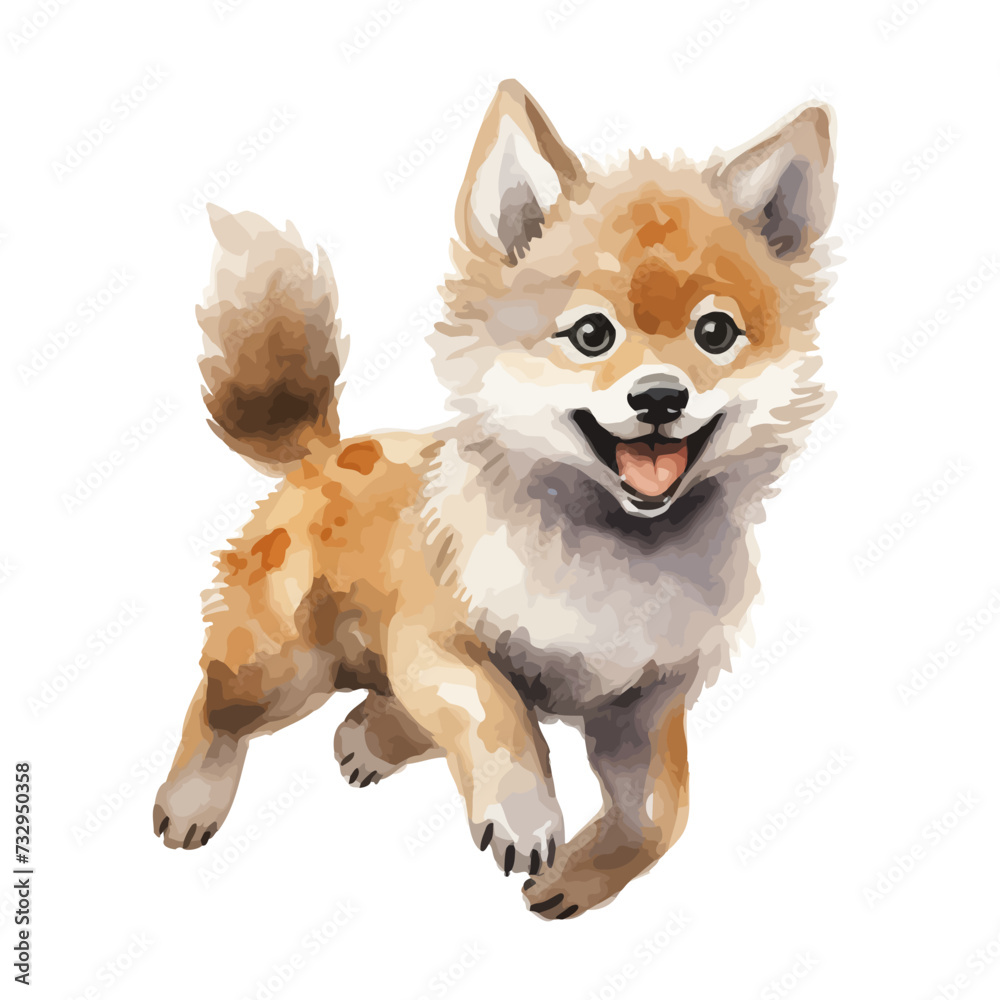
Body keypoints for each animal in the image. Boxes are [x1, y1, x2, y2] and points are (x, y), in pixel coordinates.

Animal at [153, 79, 836, 919]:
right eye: (591, 335)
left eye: (715, 333)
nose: (660, 397)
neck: (616, 549)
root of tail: (320, 453)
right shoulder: (437, 639)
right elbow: (499, 713)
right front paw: (525, 815)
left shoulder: (640, 703)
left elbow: (661, 816)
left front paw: (577, 880)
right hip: (284, 666)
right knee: (215, 702)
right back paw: (192, 798)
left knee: (378, 710)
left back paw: (369, 739)